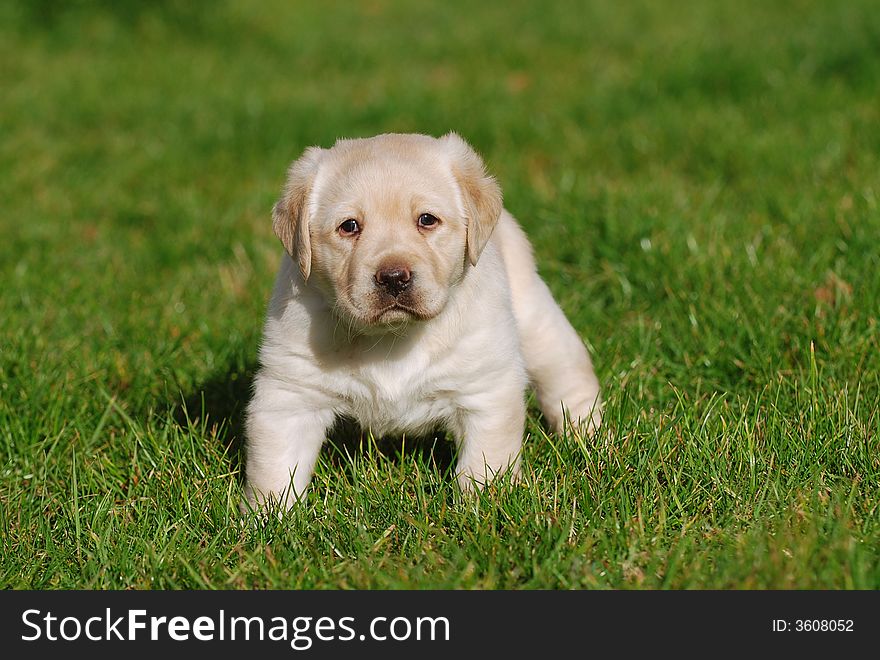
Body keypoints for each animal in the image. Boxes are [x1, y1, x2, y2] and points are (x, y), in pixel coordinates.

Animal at [242, 130, 600, 510]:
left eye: (427, 220)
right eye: (349, 226)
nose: (394, 277)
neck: (394, 336)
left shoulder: (486, 388)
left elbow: (485, 463)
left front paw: (483, 508)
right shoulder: (290, 392)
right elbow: (275, 468)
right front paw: (266, 518)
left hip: (535, 321)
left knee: (568, 378)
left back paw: (592, 439)